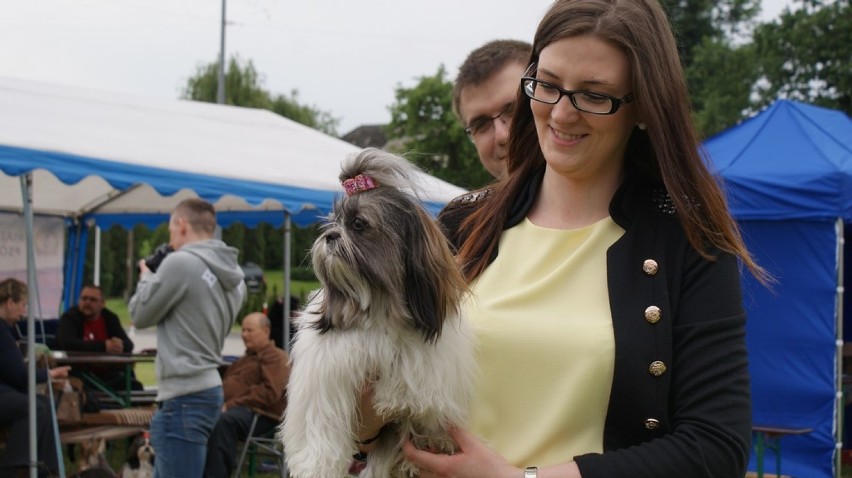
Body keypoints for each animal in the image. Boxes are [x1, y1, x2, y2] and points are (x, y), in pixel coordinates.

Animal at [282, 149, 476, 478]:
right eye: (332, 222)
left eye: (358, 224)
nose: (329, 236)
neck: (377, 305)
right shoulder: (326, 373)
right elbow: (319, 423)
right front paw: (318, 465)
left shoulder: (427, 362)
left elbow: (416, 393)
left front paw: (418, 426)